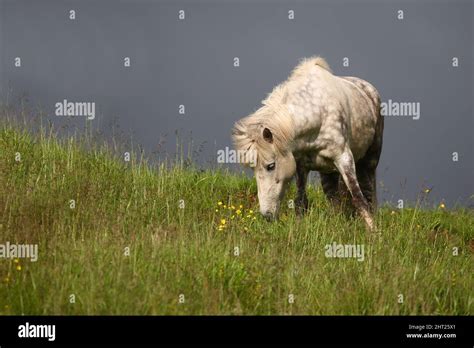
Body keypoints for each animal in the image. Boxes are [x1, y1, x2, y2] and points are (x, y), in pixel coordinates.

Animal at [233, 56, 386, 231]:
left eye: (270, 166)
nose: (267, 215)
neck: (317, 117)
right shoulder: (301, 165)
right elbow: (301, 202)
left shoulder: (344, 158)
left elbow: (358, 198)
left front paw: (373, 232)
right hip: (328, 172)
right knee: (333, 198)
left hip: (370, 161)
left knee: (369, 192)